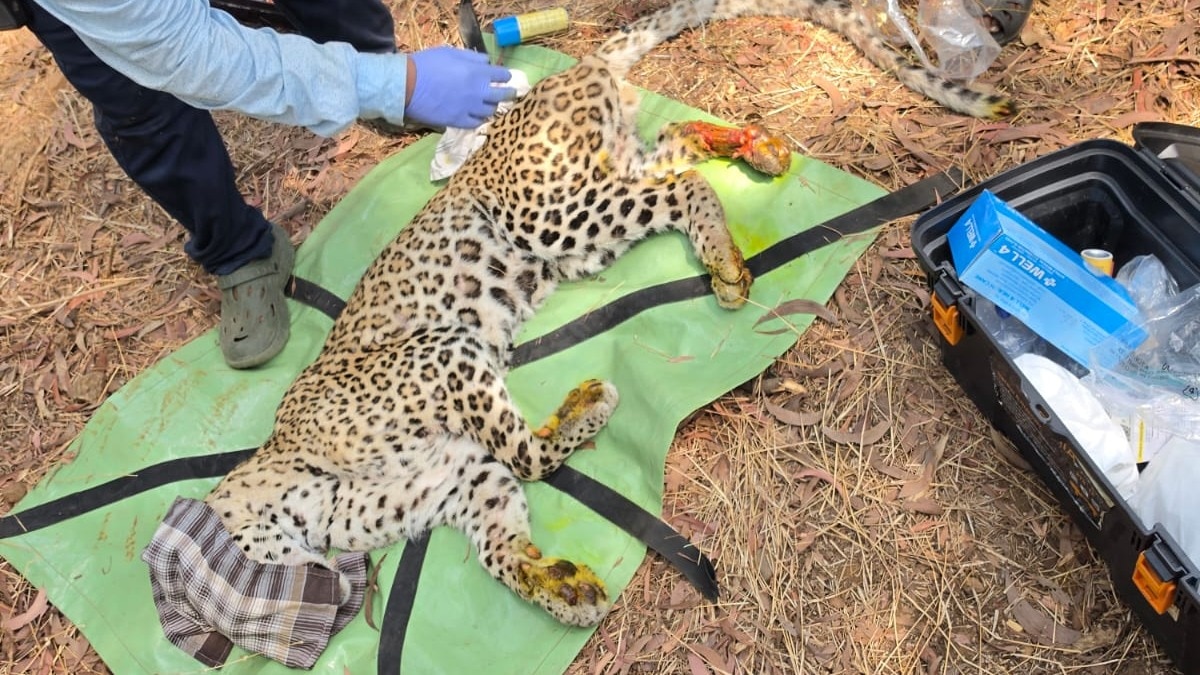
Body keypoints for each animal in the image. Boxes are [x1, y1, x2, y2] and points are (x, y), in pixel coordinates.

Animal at [205, 0, 1016, 629]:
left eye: (250, 569)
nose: (327, 589)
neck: (303, 486)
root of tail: (563, 75)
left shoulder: (443, 353)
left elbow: (527, 451)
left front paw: (591, 402)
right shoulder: (465, 478)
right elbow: (503, 534)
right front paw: (559, 589)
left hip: (554, 218)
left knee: (684, 184)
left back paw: (726, 258)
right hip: (593, 208)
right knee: (679, 148)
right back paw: (756, 151)